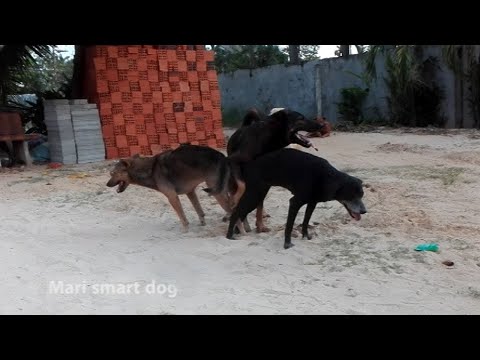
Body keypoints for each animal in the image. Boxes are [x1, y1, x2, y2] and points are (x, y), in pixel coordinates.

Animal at [227, 148, 366, 249]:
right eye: (351, 195)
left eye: (362, 195)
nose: (364, 211)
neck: (326, 177)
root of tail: (248, 164)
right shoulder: (294, 202)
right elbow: (289, 226)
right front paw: (287, 244)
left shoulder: (312, 203)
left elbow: (305, 221)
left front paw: (306, 236)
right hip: (255, 195)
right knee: (235, 212)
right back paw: (229, 236)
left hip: (258, 195)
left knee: (241, 214)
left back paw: (237, 232)